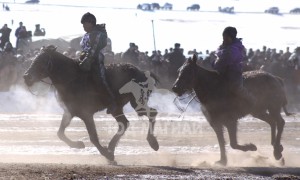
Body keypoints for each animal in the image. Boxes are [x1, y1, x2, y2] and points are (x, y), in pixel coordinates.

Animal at [23, 45, 159, 163]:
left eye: (41, 61)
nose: (26, 77)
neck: (72, 79)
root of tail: (142, 72)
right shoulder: (70, 112)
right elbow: (60, 133)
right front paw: (78, 145)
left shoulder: (86, 114)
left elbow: (93, 137)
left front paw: (106, 154)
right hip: (119, 108)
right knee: (125, 123)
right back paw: (112, 148)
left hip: (137, 103)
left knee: (150, 114)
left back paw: (152, 143)